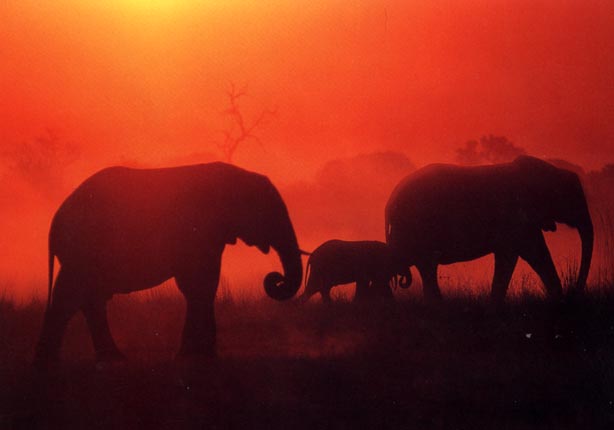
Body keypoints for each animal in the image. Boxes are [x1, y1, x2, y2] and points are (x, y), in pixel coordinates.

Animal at [35, 161, 304, 366]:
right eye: (269, 213)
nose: (276, 278)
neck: (237, 175)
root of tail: (54, 223)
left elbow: (203, 286)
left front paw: (201, 355)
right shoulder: (198, 230)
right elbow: (198, 284)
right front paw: (192, 356)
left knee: (80, 298)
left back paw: (94, 359)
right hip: (82, 251)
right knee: (76, 297)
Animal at [388, 156, 596, 300]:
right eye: (573, 199)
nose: (575, 292)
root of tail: (389, 203)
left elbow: (535, 254)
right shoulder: (515, 217)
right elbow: (523, 254)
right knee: (426, 265)